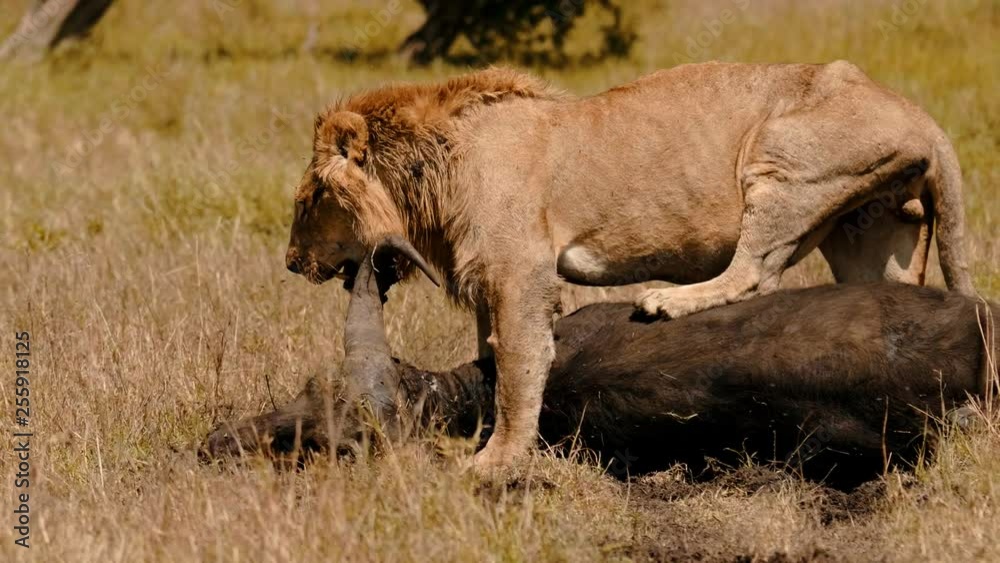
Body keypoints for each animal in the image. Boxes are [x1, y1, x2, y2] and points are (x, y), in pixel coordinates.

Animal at [284, 63, 976, 469]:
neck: (429, 173)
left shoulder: (519, 270)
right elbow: (489, 356)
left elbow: (517, 364)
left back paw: (667, 300)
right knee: (887, 295)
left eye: (308, 200)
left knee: (754, 272)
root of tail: (921, 115)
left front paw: (496, 461)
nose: (290, 264)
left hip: (779, 157)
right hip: (872, 227)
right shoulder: (487, 278)